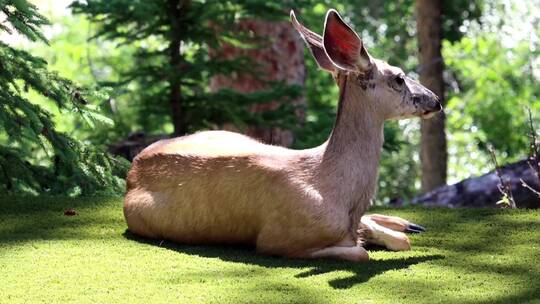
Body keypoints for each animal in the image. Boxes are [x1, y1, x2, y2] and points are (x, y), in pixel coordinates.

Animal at [124, 9, 440, 262]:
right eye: (398, 78)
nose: (436, 100)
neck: (338, 193)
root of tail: (133, 169)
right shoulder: (275, 240)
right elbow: (361, 252)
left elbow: (399, 241)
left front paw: (398, 229)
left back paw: (408, 223)